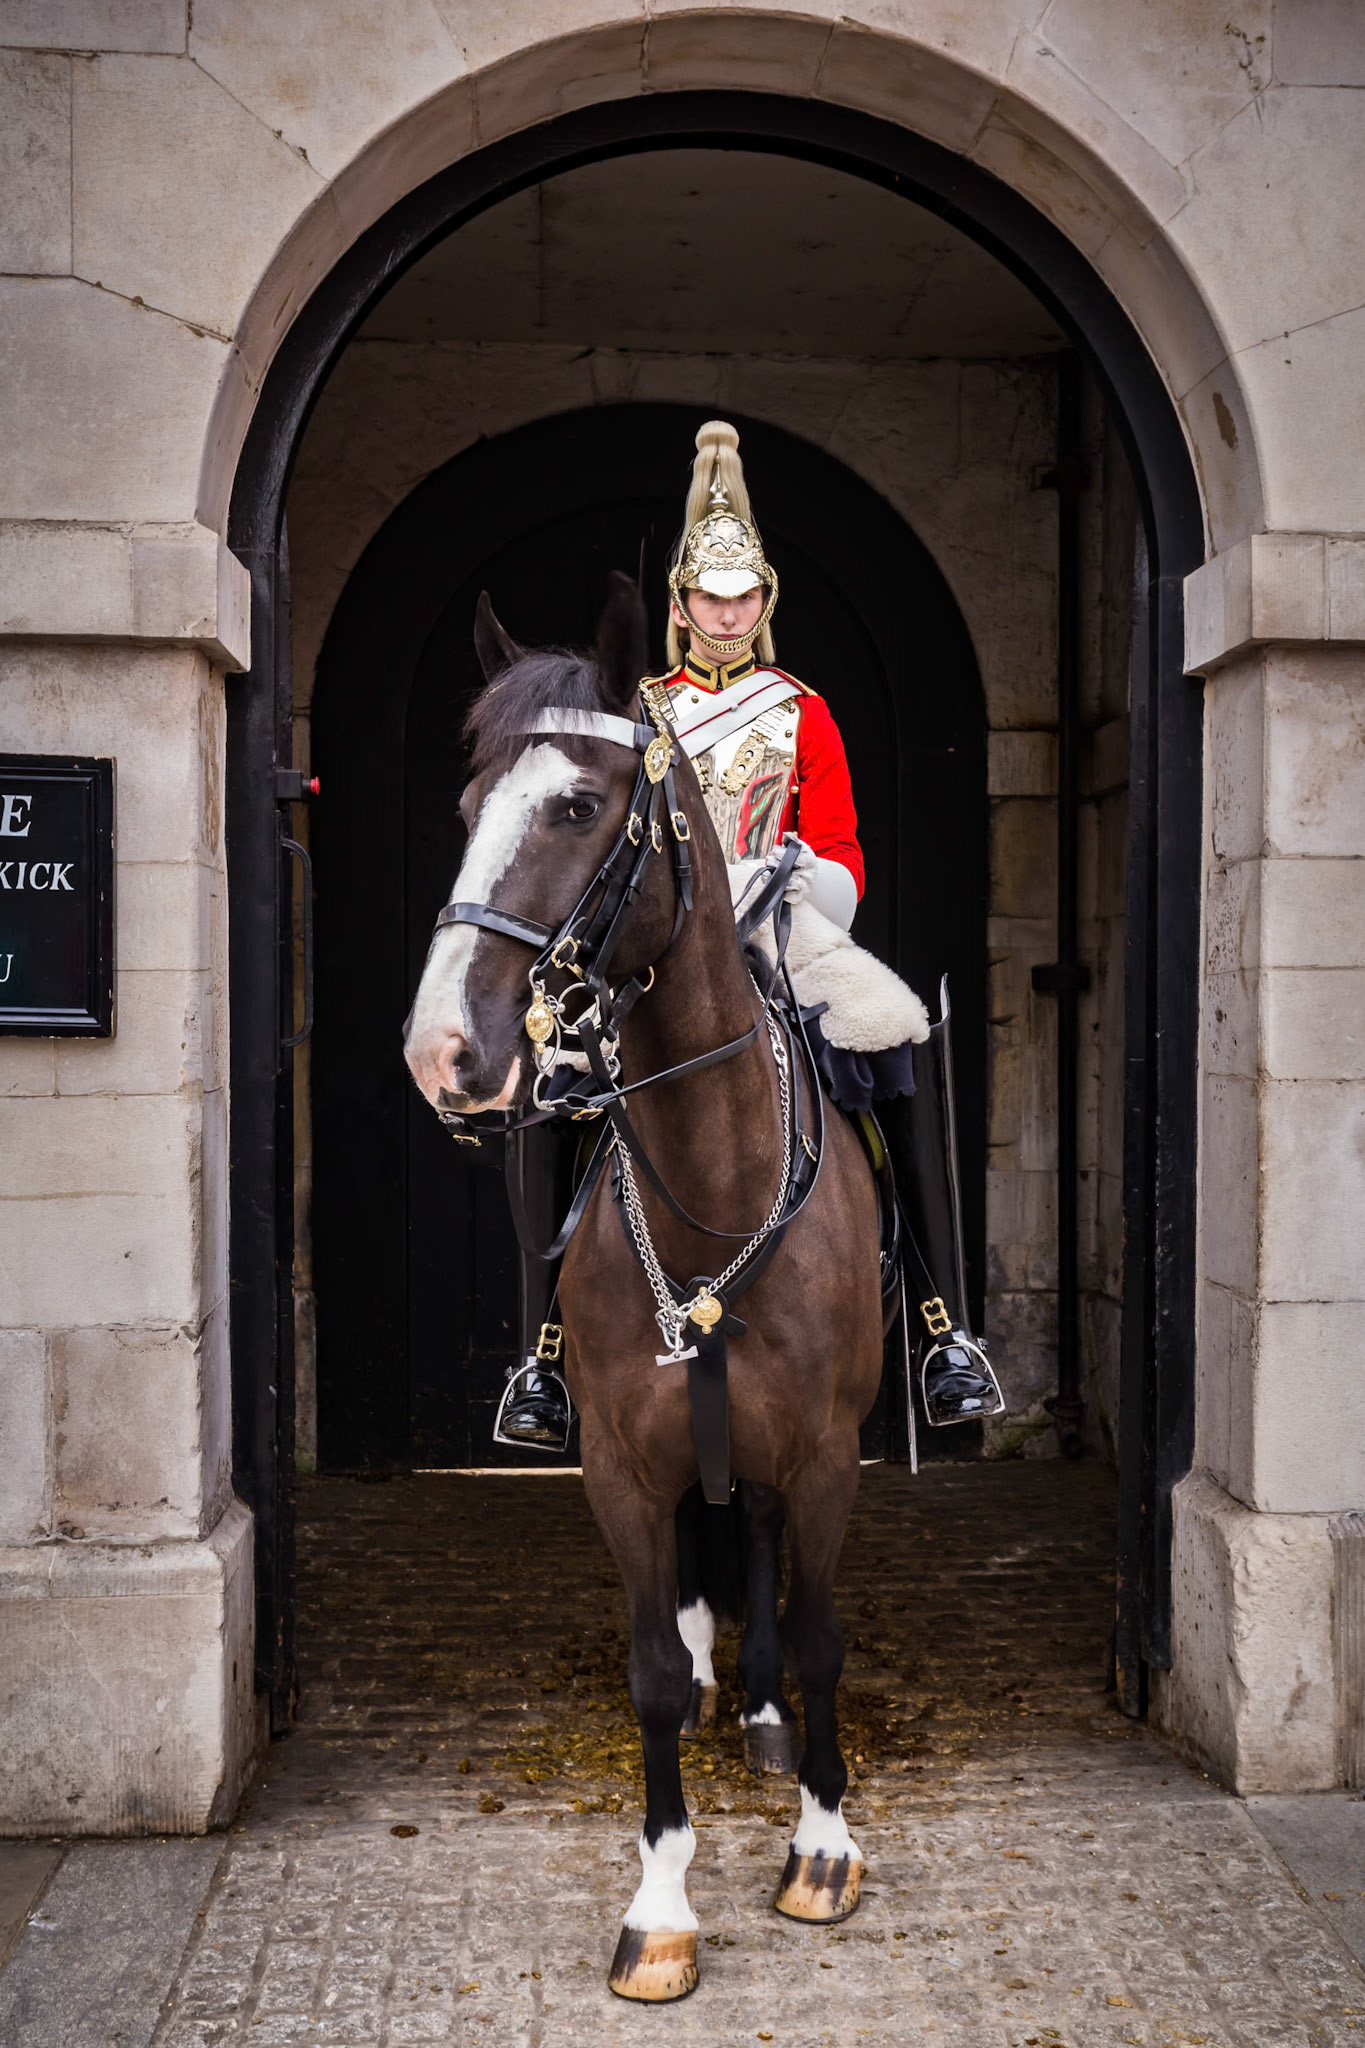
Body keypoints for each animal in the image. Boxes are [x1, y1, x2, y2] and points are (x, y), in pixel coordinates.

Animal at [404, 574, 884, 2002]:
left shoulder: (828, 1453)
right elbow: (653, 1674)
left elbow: (822, 1631)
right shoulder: (619, 1464)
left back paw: (774, 1715)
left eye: (575, 805)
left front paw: (822, 1847)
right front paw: (662, 1905)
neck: (712, 1174)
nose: (443, 1049)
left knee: (768, 1554)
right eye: (469, 807)